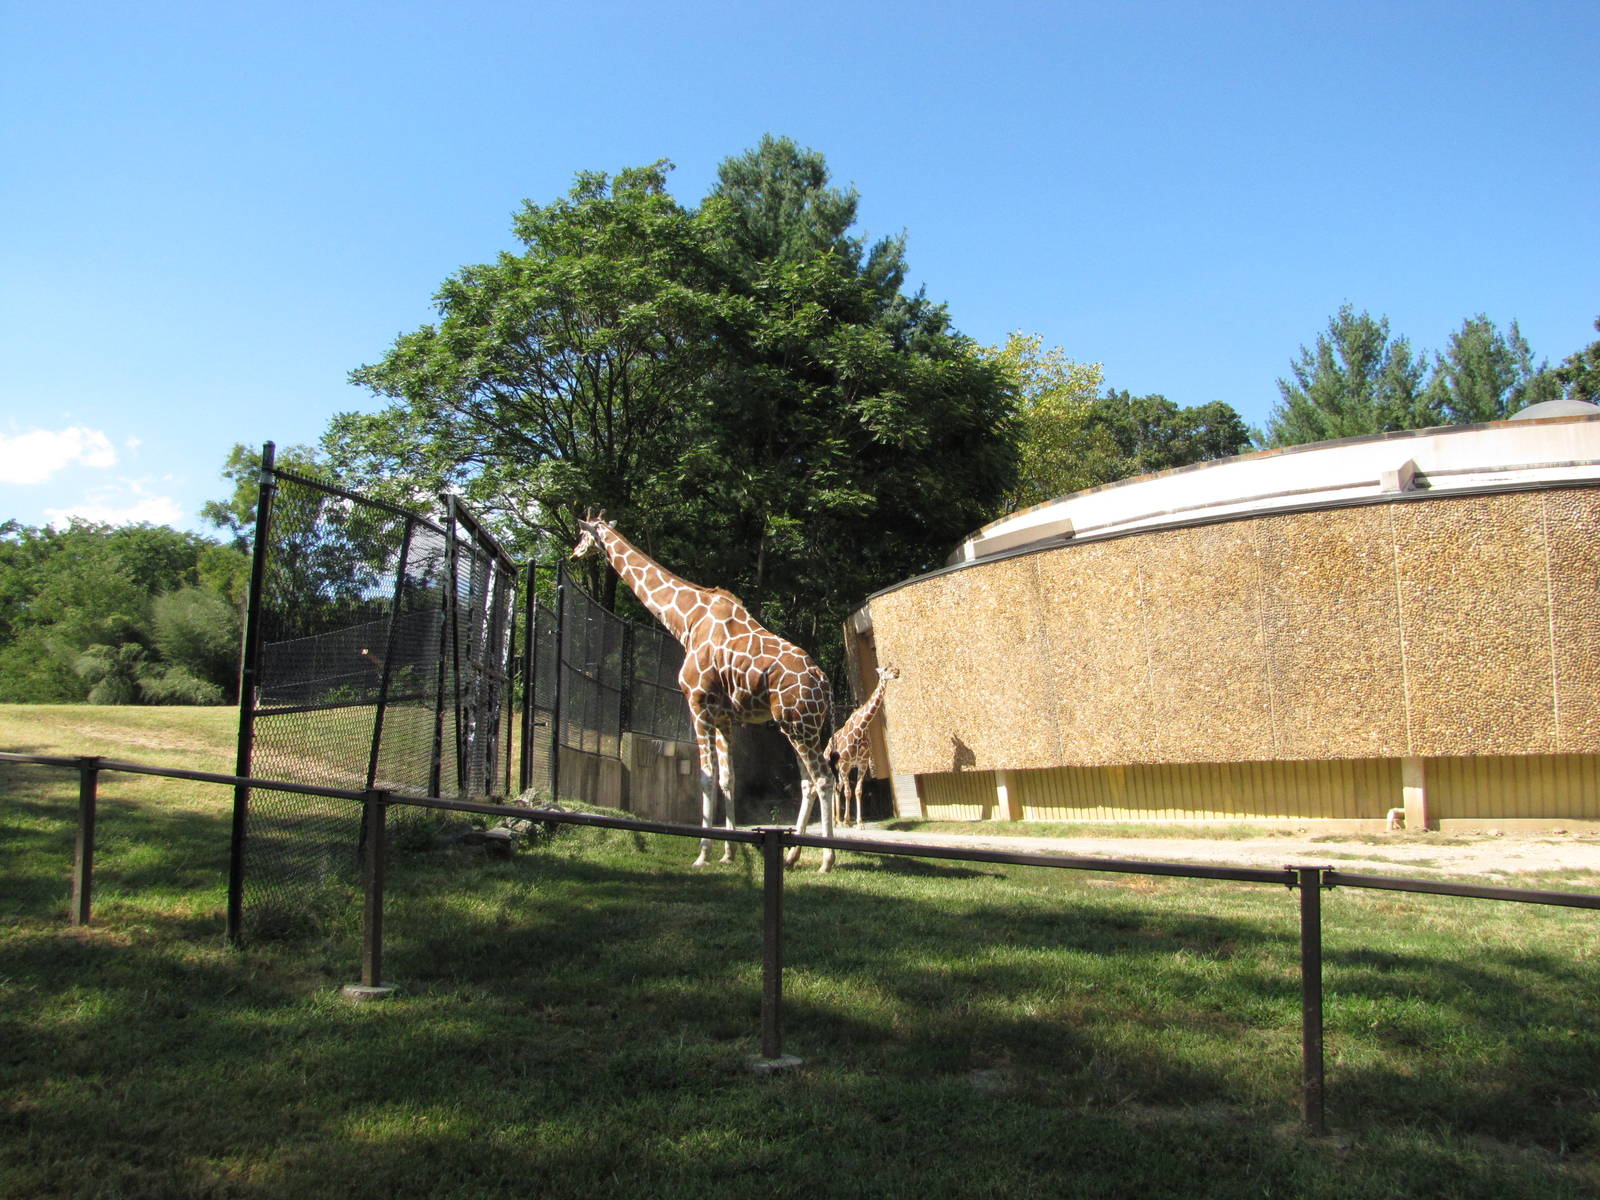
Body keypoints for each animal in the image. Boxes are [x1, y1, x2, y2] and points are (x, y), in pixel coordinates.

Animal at [571, 512, 839, 871]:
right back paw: (792, 854)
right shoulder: (724, 716)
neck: (687, 621)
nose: (574, 554)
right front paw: (728, 852)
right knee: (808, 781)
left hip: (800, 725)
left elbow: (705, 776)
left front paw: (702, 853)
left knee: (824, 778)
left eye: (583, 535)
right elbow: (728, 779)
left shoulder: (697, 703)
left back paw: (827, 859)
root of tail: (825, 685)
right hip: (796, 726)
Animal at [827, 665, 899, 827]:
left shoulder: (862, 763)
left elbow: (858, 791)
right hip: (835, 768)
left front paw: (858, 823)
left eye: (893, 667)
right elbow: (848, 792)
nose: (897, 672)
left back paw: (838, 820)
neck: (860, 729)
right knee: (835, 789)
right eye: (886, 669)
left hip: (843, 770)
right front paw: (848, 821)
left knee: (838, 788)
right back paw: (835, 821)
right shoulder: (845, 764)